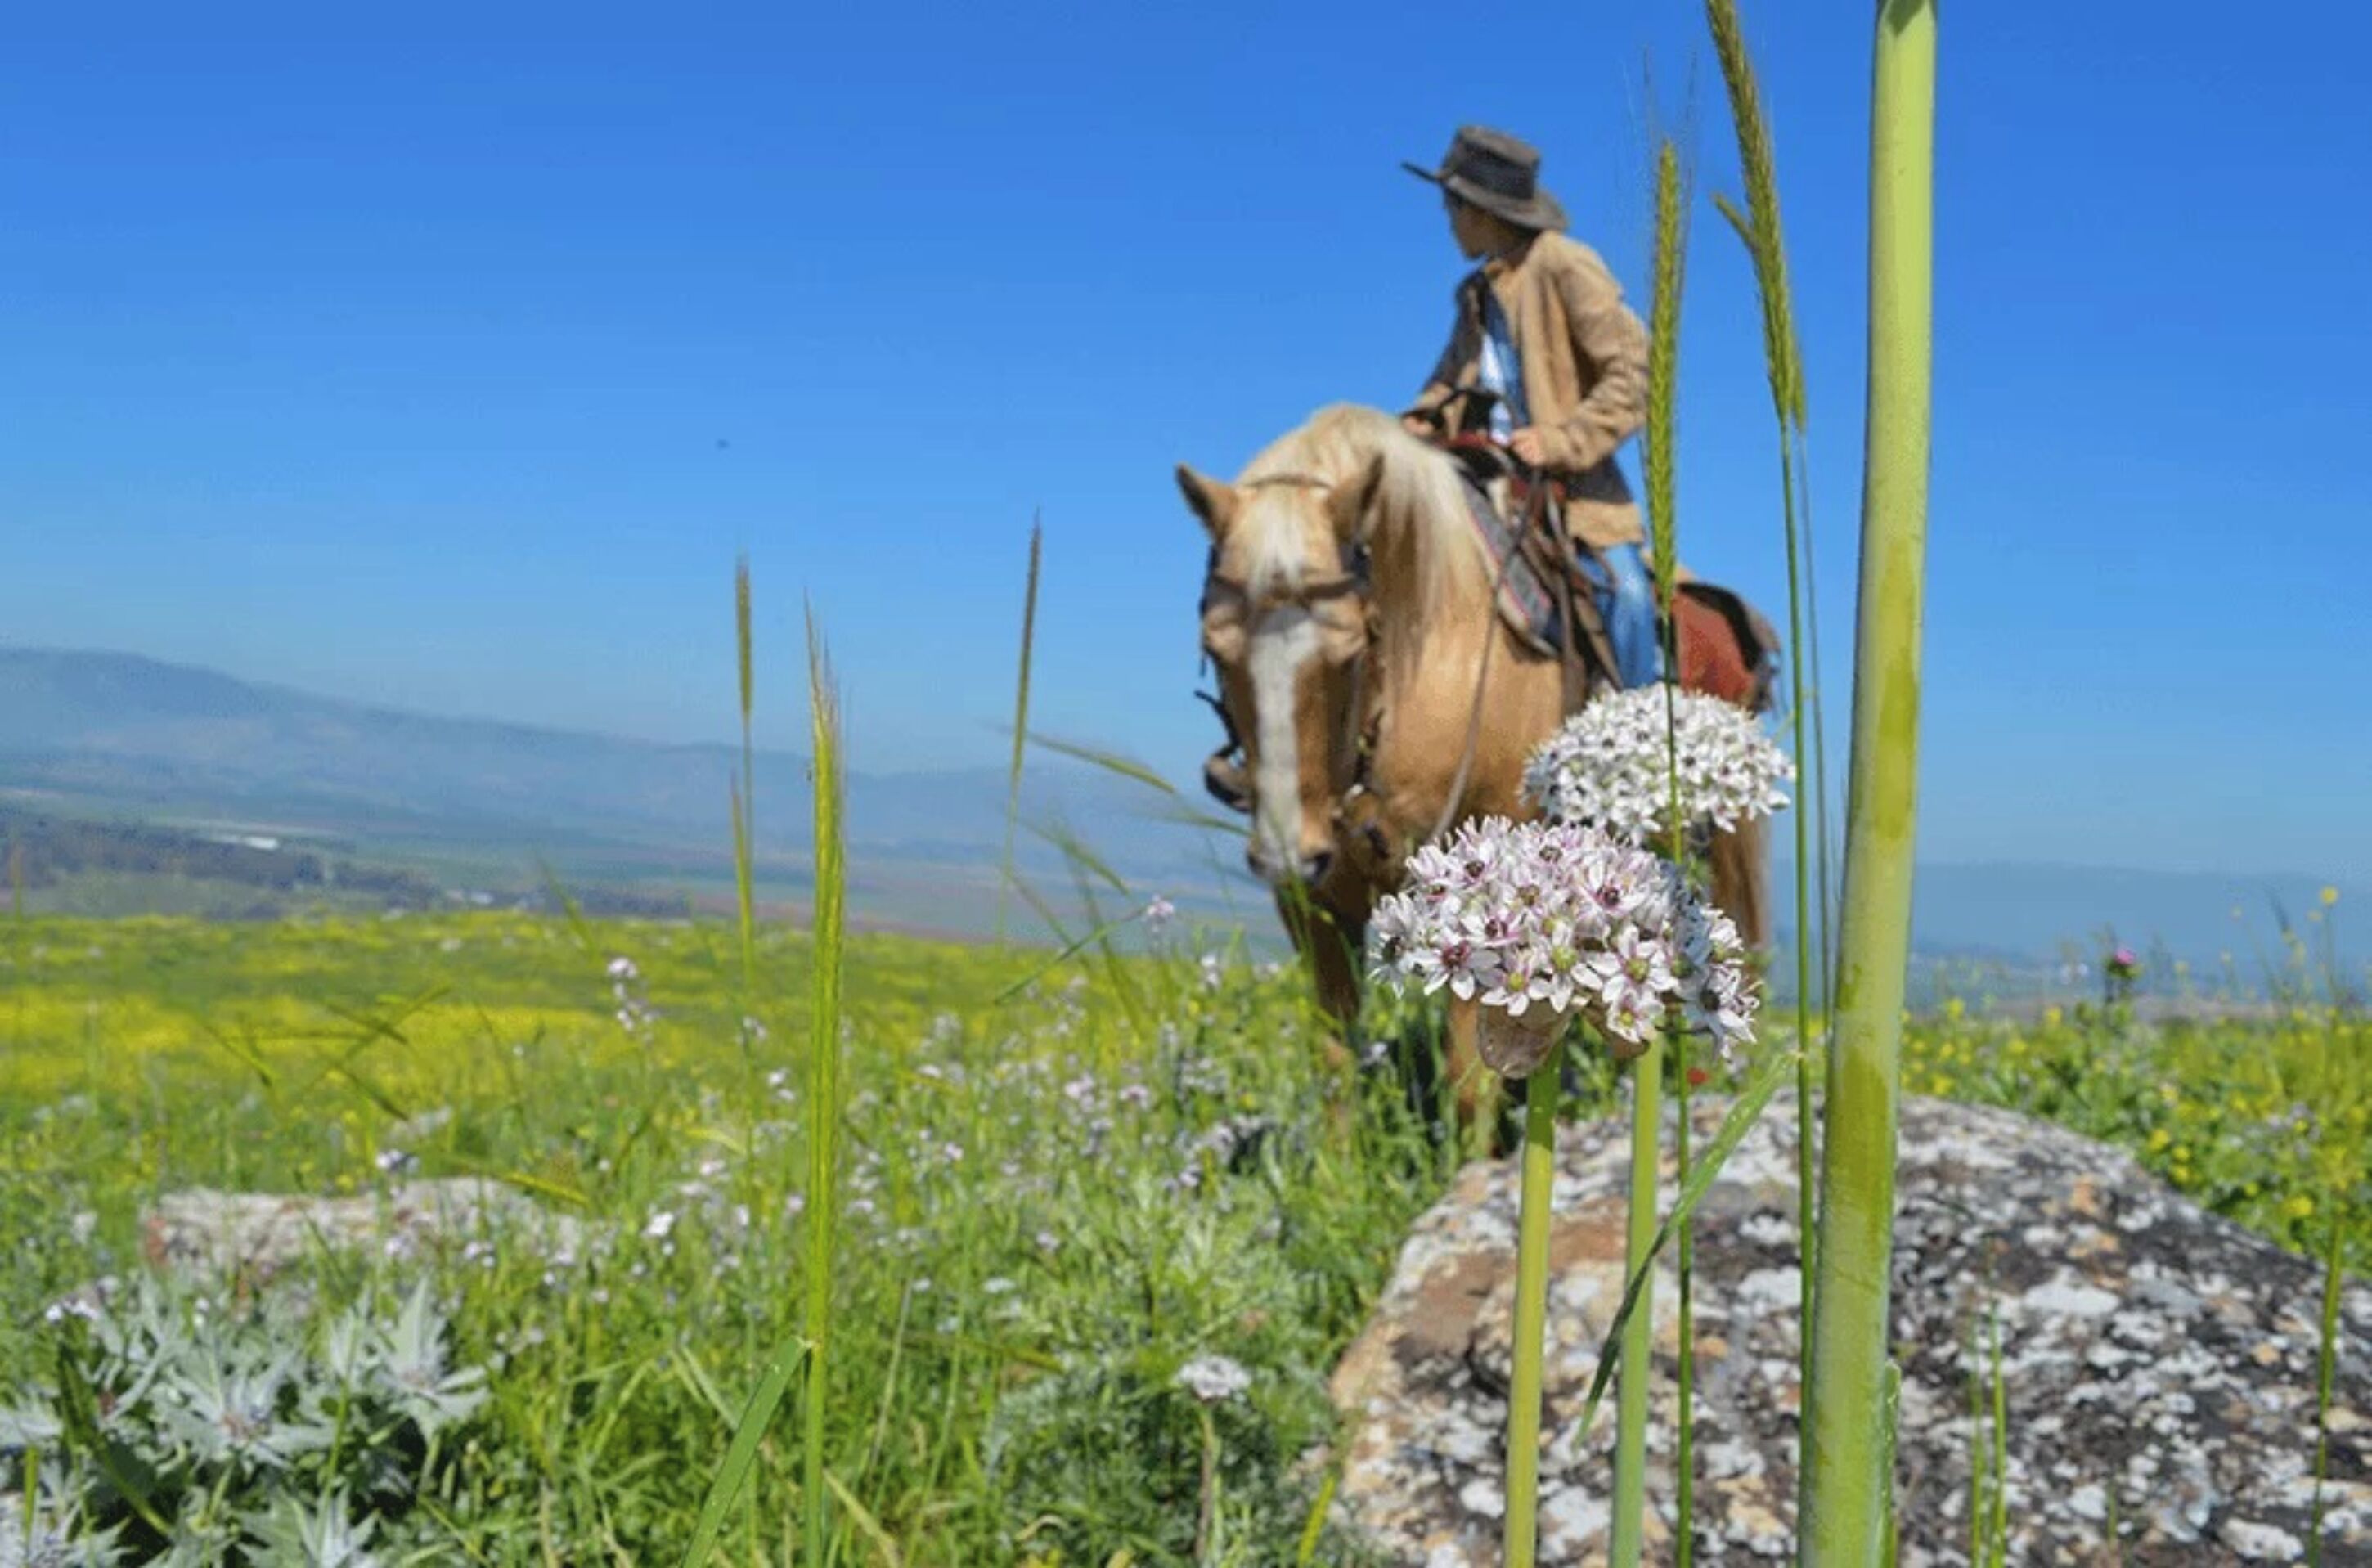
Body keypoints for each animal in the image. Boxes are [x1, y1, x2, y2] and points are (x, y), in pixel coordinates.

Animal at [1176, 403, 1772, 1131]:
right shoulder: (1312, 905)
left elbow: (1469, 1085)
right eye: (1215, 650)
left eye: (1349, 649)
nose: (1289, 854)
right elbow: (1336, 1064)